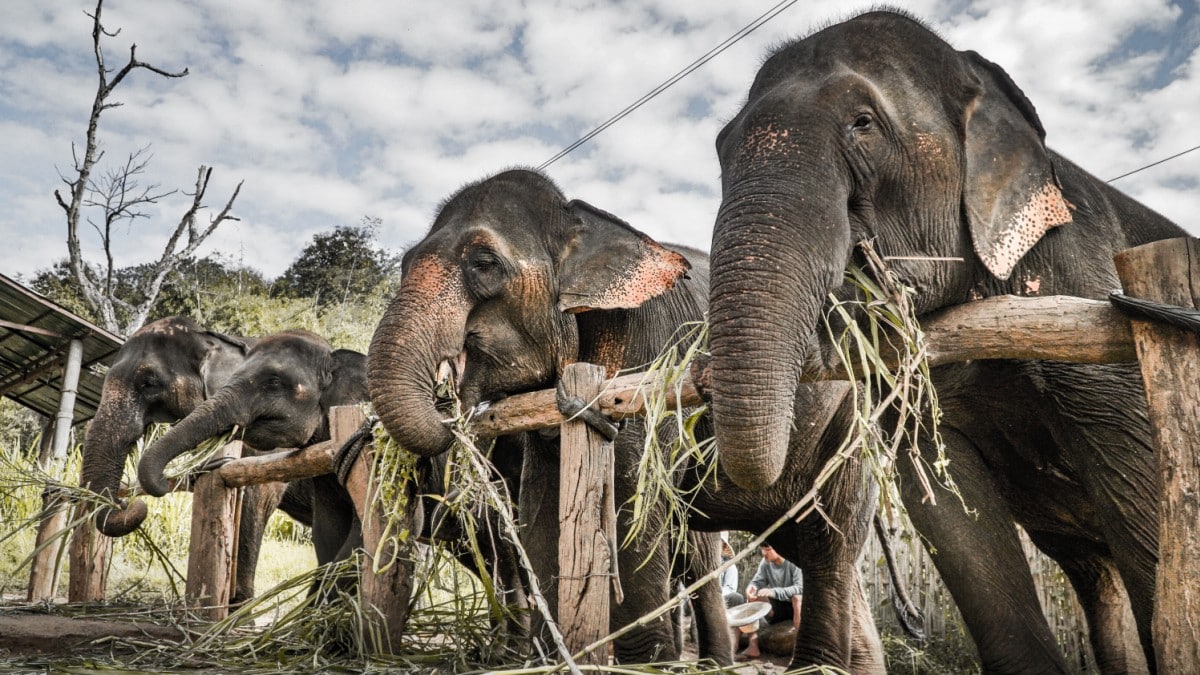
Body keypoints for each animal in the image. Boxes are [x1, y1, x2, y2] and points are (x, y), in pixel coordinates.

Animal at [362, 168, 883, 667]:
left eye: (484, 264)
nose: (448, 405)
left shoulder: (652, 356)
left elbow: (632, 499)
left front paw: (646, 663)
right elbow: (539, 509)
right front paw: (548, 660)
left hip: (852, 430)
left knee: (826, 544)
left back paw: (808, 666)